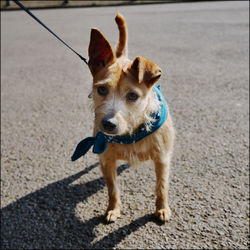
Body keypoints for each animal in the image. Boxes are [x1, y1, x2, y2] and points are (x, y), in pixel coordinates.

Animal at [72, 13, 174, 223]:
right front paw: (113, 209)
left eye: (133, 96)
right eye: (102, 89)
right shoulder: (106, 160)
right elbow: (112, 188)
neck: (131, 133)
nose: (108, 124)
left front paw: (162, 208)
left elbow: (161, 186)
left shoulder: (162, 159)